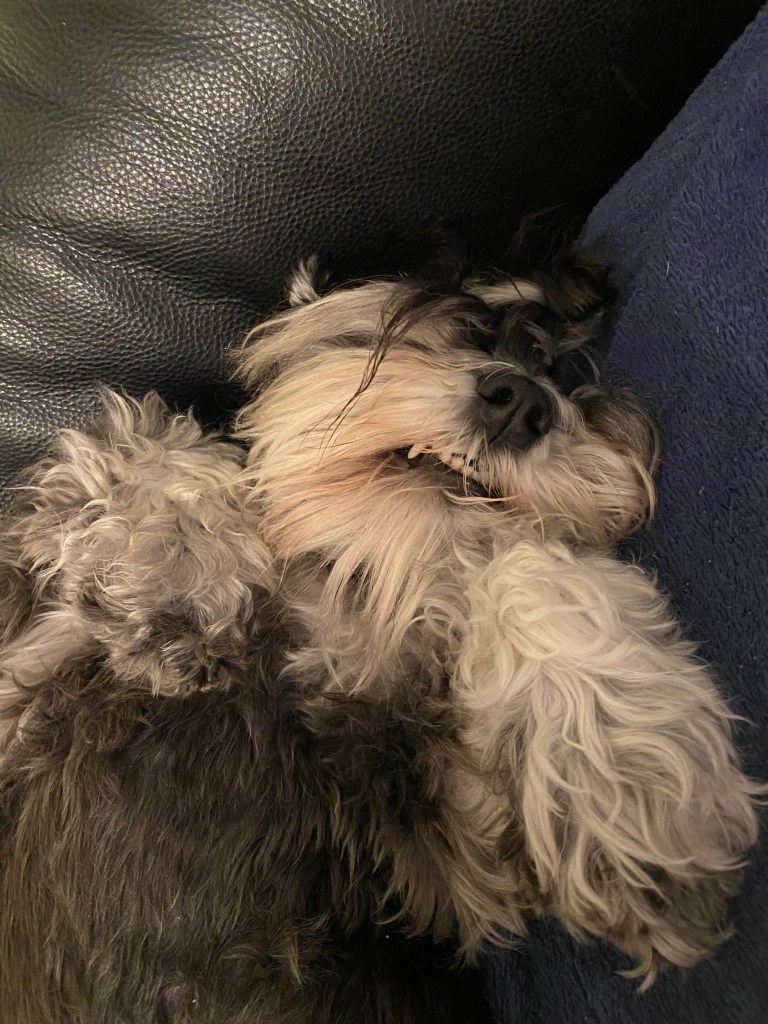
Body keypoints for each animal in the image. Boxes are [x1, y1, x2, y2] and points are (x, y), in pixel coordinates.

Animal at [0, 223, 761, 1023]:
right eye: (464, 326)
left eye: (579, 392)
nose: (520, 401)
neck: (355, 599)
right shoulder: (25, 670)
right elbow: (140, 446)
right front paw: (179, 564)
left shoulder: (454, 853)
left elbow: (521, 557)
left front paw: (634, 789)